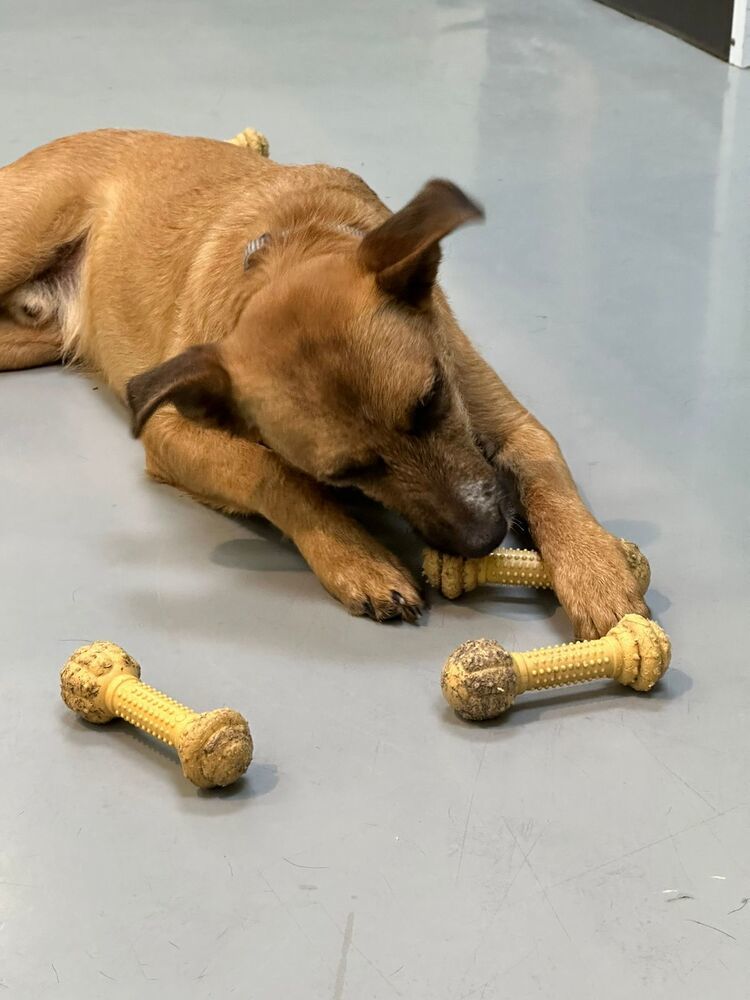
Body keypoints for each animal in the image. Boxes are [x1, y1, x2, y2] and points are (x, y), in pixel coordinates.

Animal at [0, 129, 648, 636]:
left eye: (432, 398)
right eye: (348, 473)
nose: (485, 539)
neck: (294, 241)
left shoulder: (509, 420)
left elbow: (547, 478)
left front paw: (597, 573)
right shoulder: (168, 433)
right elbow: (271, 470)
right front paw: (355, 557)